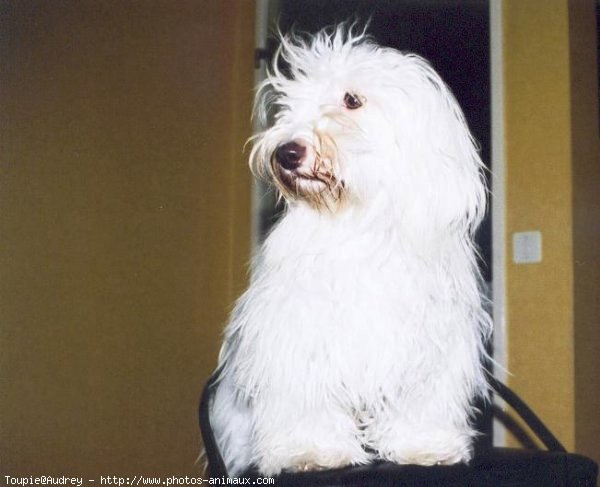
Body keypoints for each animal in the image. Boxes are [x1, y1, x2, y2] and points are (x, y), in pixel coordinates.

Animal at [212, 24, 492, 478]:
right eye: (287, 105)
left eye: (352, 100)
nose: (286, 152)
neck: (359, 223)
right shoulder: (299, 334)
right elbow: (306, 399)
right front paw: (311, 452)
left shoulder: (430, 345)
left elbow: (420, 403)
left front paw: (423, 446)